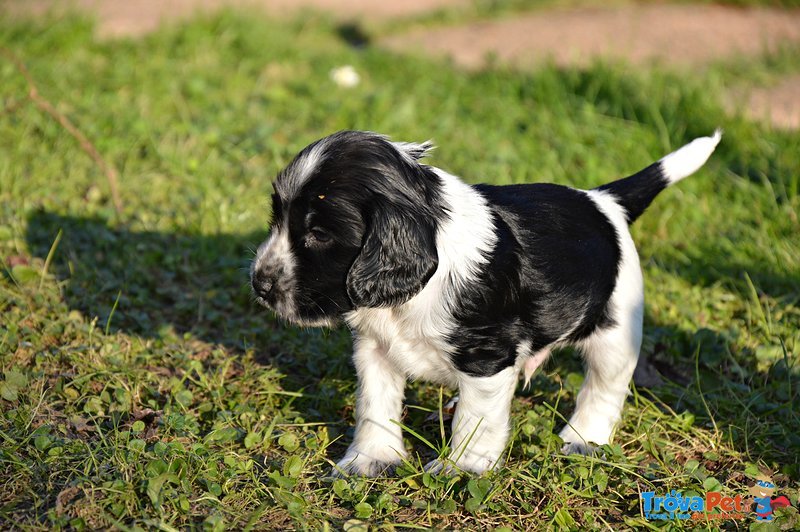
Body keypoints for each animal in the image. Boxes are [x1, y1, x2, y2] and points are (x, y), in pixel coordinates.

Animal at [253, 128, 720, 474]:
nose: (259, 285)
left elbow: (476, 419)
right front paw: (370, 459)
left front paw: (463, 468)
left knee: (604, 389)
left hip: (615, 331)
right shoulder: (374, 350)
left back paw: (583, 440)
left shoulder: (487, 355)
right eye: (276, 219)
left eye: (319, 234)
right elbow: (374, 405)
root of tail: (603, 200)